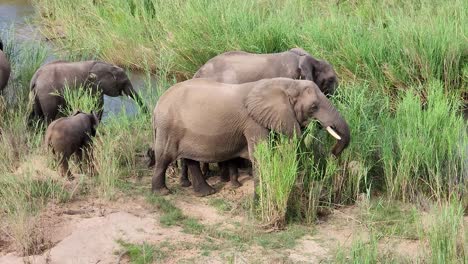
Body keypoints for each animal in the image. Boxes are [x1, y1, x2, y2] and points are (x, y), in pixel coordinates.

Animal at [152, 77, 350, 197]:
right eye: (314, 107)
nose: (332, 153)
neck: (285, 84)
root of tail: (158, 103)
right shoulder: (253, 122)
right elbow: (262, 155)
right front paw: (262, 195)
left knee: (190, 158)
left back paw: (207, 193)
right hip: (168, 127)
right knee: (164, 157)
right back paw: (162, 192)